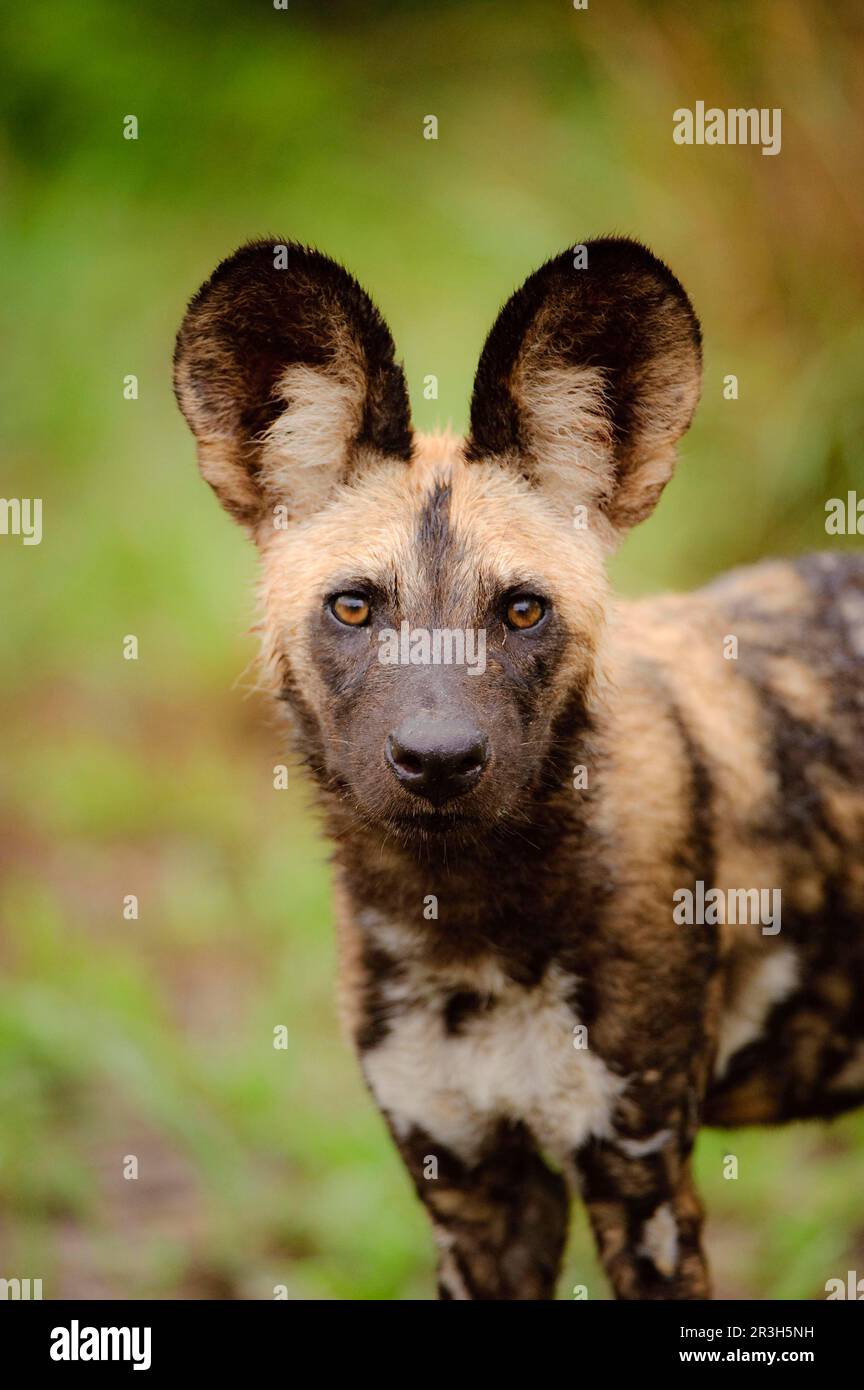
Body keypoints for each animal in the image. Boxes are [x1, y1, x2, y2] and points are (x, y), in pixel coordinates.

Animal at [174, 241, 864, 1301]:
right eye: (354, 608)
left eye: (523, 611)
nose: (438, 759)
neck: (463, 921)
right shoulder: (473, 1192)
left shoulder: (643, 1186)